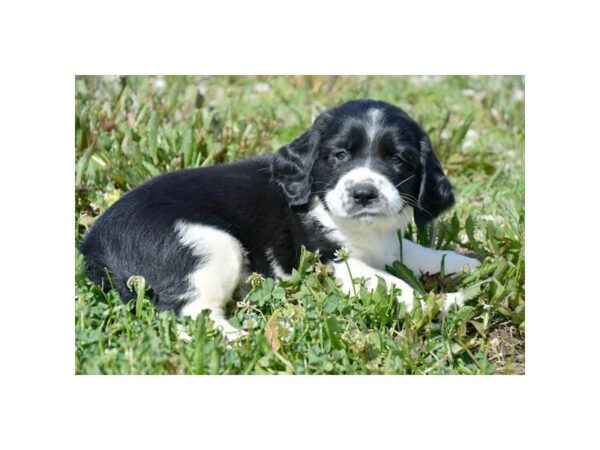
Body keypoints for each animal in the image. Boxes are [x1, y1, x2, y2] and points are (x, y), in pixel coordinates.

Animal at [82, 98, 480, 338]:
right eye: (340, 155)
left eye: (397, 159)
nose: (364, 193)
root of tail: (92, 245)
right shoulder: (331, 260)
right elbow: (390, 283)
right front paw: (441, 303)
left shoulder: (386, 244)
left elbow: (416, 253)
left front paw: (469, 264)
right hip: (210, 245)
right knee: (188, 312)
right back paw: (246, 338)